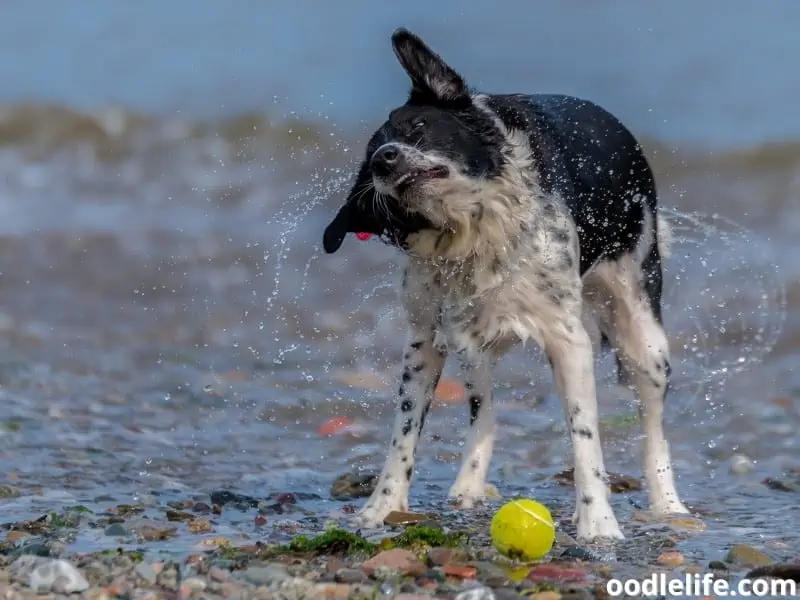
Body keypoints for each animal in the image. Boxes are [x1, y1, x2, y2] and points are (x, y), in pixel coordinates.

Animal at [320, 29, 688, 544]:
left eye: (417, 127)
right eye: (371, 153)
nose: (381, 160)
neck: (471, 231)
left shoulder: (568, 339)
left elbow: (585, 438)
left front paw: (598, 524)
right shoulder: (424, 340)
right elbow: (404, 433)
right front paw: (381, 508)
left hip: (644, 336)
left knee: (654, 431)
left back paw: (669, 506)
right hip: (470, 339)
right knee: (484, 409)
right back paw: (468, 486)